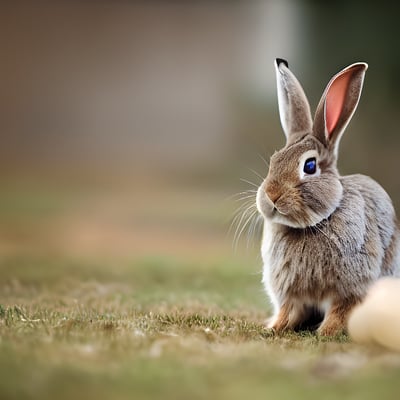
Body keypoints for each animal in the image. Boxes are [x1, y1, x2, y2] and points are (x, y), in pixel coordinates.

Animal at [256, 57, 400, 336]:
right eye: (274, 160)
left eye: (310, 166)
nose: (271, 196)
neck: (313, 224)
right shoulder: (291, 294)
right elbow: (288, 311)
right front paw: (273, 328)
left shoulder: (349, 289)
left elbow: (340, 311)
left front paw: (326, 332)